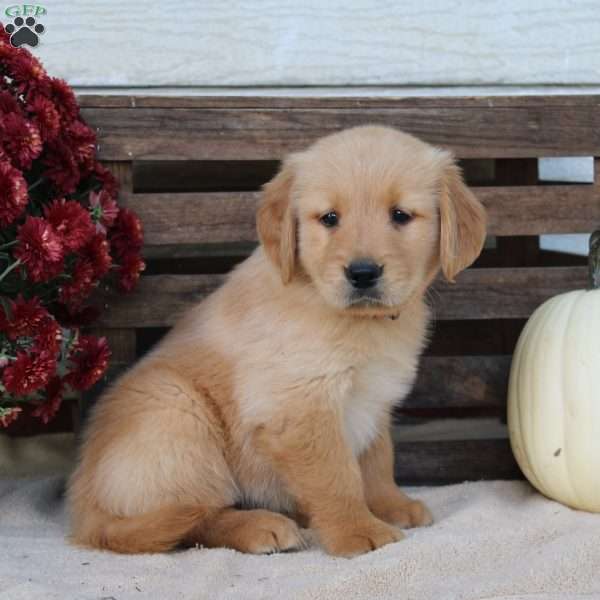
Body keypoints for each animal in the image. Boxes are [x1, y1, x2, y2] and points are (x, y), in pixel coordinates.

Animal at [67, 125, 488, 556]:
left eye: (400, 215)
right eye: (330, 218)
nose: (363, 273)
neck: (356, 320)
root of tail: (86, 510)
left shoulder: (375, 400)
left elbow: (376, 461)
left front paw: (390, 505)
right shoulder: (299, 405)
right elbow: (337, 477)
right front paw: (357, 530)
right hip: (175, 408)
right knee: (195, 518)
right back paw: (261, 525)